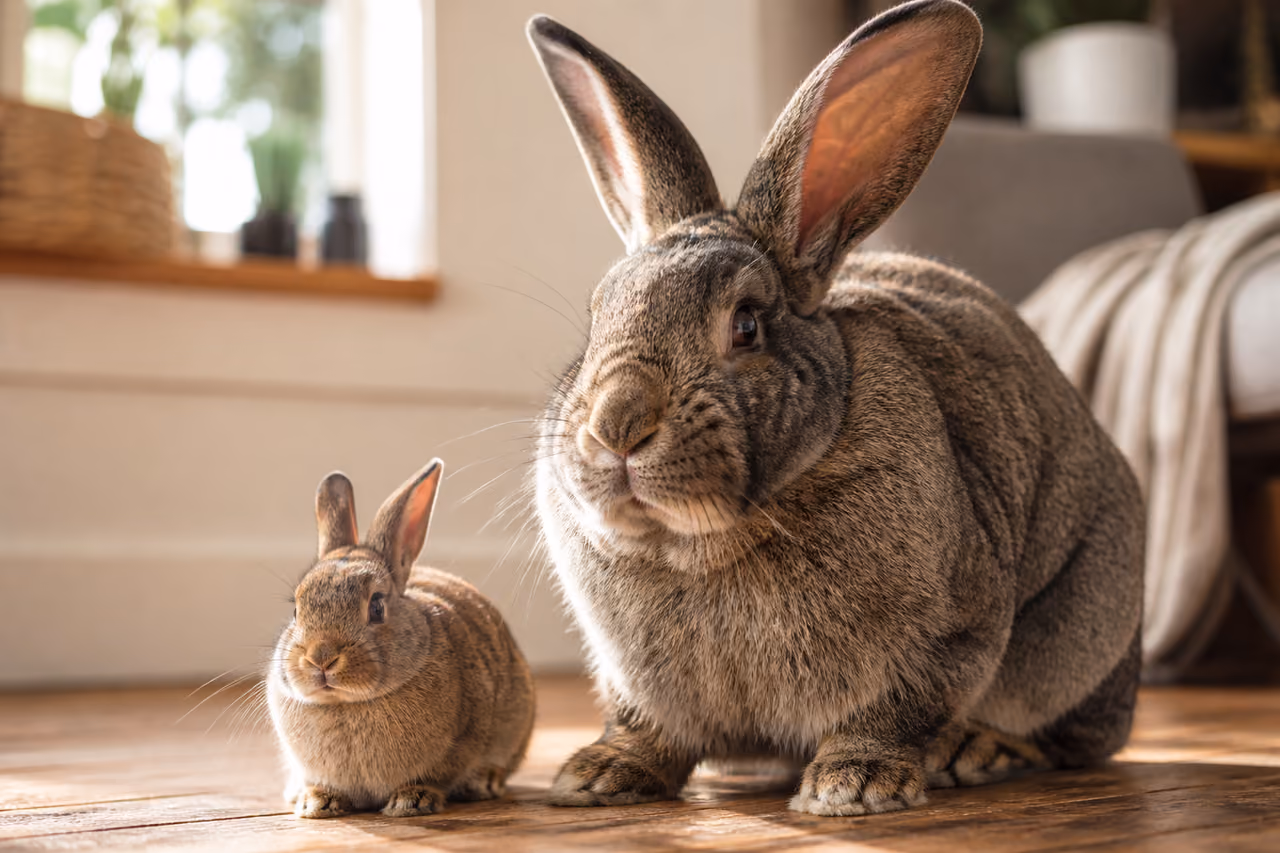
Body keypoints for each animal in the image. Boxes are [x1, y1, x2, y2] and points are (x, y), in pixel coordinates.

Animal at [267, 460, 536, 818]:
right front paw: (317, 801)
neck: (346, 703)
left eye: (377, 606)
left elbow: (436, 775)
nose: (320, 658)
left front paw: (413, 800)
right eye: (296, 609)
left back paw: (484, 782)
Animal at [526, 0, 1144, 817]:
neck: (708, 539)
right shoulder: (631, 677)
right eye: (597, 317)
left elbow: (894, 710)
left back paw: (976, 751)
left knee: (1065, 736)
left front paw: (854, 785)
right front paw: (597, 775)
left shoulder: (949, 633)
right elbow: (645, 726)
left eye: (746, 324)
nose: (617, 428)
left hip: (1081, 632)